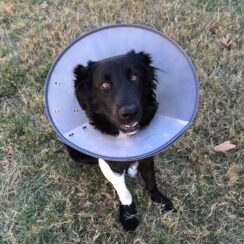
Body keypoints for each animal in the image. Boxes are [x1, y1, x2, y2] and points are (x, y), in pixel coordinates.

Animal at [66, 50, 174, 232]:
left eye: (134, 77)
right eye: (105, 85)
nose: (129, 113)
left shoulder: (148, 153)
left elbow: (151, 179)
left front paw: (159, 199)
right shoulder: (112, 164)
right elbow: (124, 191)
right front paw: (128, 216)